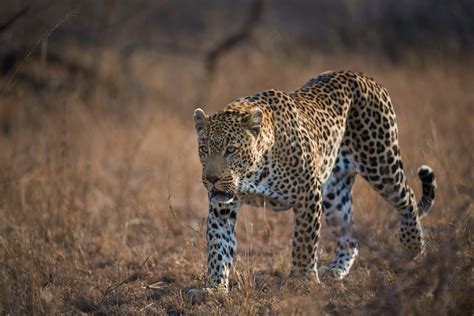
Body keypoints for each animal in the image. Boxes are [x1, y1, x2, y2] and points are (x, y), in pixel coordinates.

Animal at [188, 70, 436, 300]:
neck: (254, 172)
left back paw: (413, 247)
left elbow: (304, 240)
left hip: (381, 161)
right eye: (204, 149)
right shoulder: (222, 207)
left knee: (407, 198)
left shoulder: (307, 193)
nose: (211, 179)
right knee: (349, 235)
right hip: (335, 193)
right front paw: (214, 288)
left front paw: (302, 280)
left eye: (231, 150)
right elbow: (219, 247)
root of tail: (362, 75)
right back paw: (335, 270)